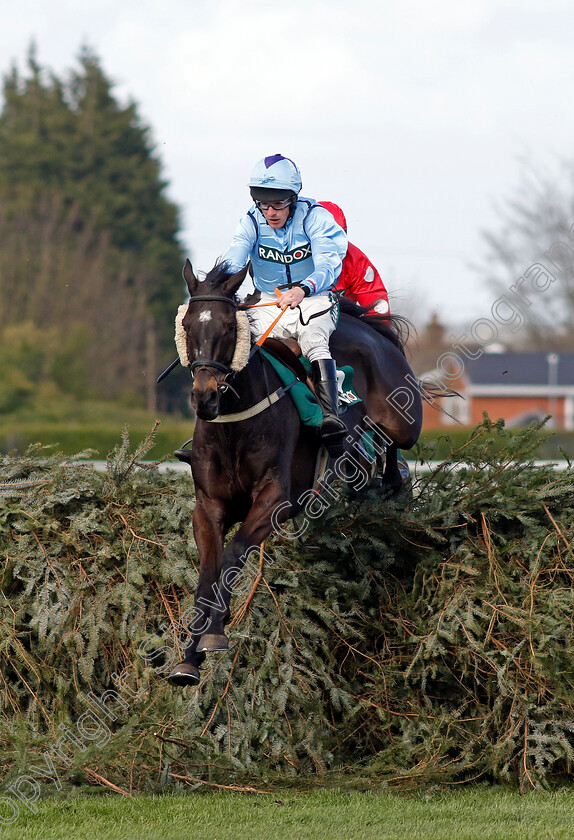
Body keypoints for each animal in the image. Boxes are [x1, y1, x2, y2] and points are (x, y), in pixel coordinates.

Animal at [166, 260, 424, 684]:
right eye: (187, 326)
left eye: (229, 328)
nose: (205, 396)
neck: (235, 424)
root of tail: (370, 328)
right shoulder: (208, 507)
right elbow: (207, 572)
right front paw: (190, 655)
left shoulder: (276, 501)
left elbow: (233, 555)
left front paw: (215, 632)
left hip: (403, 419)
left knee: (392, 448)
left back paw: (385, 479)